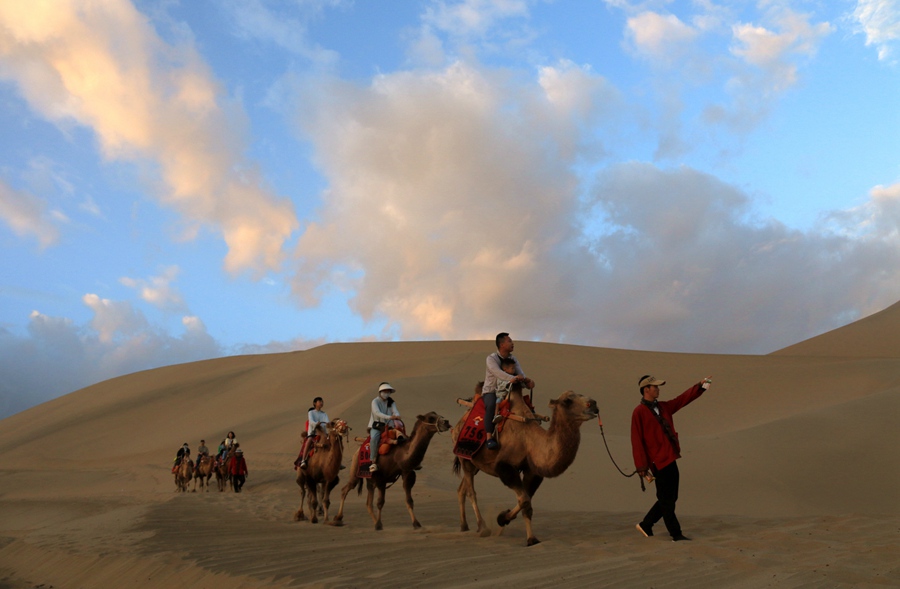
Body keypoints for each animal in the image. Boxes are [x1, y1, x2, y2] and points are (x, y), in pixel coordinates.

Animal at [450, 384, 596, 544]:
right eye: (567, 401)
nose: (594, 404)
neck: (530, 441)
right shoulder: (505, 467)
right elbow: (524, 499)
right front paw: (502, 518)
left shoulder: (532, 472)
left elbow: (527, 503)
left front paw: (530, 538)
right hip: (465, 458)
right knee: (471, 491)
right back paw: (482, 527)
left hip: (476, 463)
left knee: (461, 489)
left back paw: (464, 526)